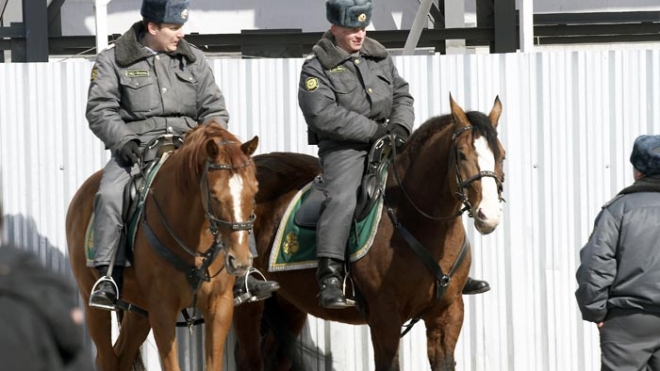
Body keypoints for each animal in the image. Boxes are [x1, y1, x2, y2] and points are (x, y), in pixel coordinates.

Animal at [65, 123, 260, 370]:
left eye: (254, 192)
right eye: (215, 195)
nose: (240, 261)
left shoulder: (220, 306)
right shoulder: (162, 310)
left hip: (139, 311)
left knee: (122, 355)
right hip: (93, 306)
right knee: (106, 358)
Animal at [233, 96, 506, 371]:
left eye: (502, 155)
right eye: (461, 154)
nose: (488, 215)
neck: (417, 222)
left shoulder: (448, 313)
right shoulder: (385, 317)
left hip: (290, 303)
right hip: (249, 305)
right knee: (249, 359)